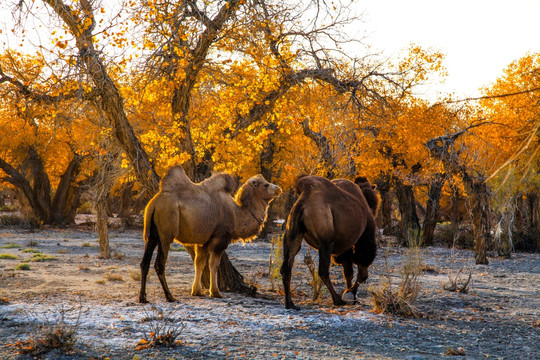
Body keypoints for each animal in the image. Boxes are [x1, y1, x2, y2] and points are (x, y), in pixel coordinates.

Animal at [139, 167, 280, 304]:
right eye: (266, 185)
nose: (278, 189)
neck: (236, 215)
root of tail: (154, 204)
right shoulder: (220, 238)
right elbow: (213, 264)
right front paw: (216, 292)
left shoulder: (203, 241)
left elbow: (199, 263)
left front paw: (196, 291)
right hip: (166, 233)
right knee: (159, 264)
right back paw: (170, 297)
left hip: (151, 235)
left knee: (144, 263)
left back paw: (143, 298)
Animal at [280, 174, 378, 310]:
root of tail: (304, 199)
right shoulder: (365, 239)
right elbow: (362, 274)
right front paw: (350, 294)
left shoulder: (345, 248)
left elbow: (348, 273)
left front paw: (350, 294)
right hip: (326, 242)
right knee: (323, 271)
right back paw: (337, 299)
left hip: (292, 234)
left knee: (286, 267)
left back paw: (290, 303)